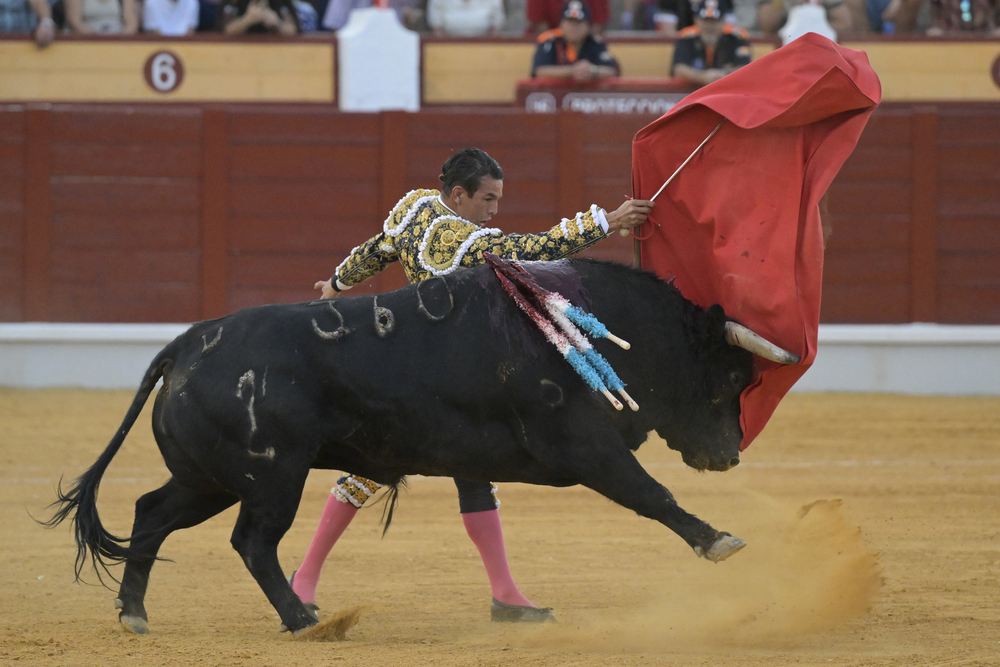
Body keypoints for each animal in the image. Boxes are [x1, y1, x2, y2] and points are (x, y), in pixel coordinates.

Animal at [45, 258, 796, 636]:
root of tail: (188, 342)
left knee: (151, 512)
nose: (728, 454)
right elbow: (652, 494)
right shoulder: (589, 448)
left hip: (211, 478)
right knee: (252, 542)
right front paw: (719, 540)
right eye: (732, 376)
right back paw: (302, 618)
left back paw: (136, 613)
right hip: (270, 477)